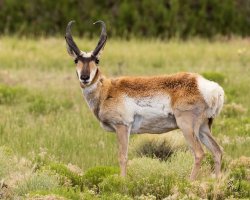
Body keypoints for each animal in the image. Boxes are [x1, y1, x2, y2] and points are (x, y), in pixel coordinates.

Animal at [65, 20, 225, 180]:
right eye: (76, 60)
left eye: (97, 60)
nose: (85, 77)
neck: (108, 90)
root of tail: (207, 86)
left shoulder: (122, 127)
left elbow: (122, 157)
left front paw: (122, 182)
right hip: (203, 128)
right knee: (217, 151)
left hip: (187, 127)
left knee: (199, 153)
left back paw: (190, 182)